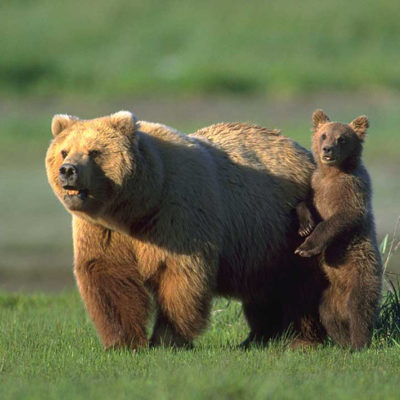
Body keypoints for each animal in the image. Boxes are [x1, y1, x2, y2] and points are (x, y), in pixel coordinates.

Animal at [47, 111, 326, 348]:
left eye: (94, 152)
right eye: (64, 151)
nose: (68, 170)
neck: (134, 207)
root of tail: (305, 153)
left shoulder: (176, 213)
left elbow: (178, 275)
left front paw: (167, 339)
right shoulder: (102, 229)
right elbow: (109, 276)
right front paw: (123, 341)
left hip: (289, 230)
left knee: (300, 287)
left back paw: (301, 340)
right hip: (260, 243)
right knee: (263, 292)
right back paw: (257, 338)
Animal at [296, 110, 382, 350]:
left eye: (342, 138)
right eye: (324, 135)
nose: (327, 149)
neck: (332, 174)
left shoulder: (352, 188)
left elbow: (342, 217)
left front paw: (306, 247)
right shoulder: (316, 185)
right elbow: (305, 202)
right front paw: (305, 226)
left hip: (362, 275)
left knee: (360, 311)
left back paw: (359, 344)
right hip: (328, 294)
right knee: (328, 315)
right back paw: (343, 342)